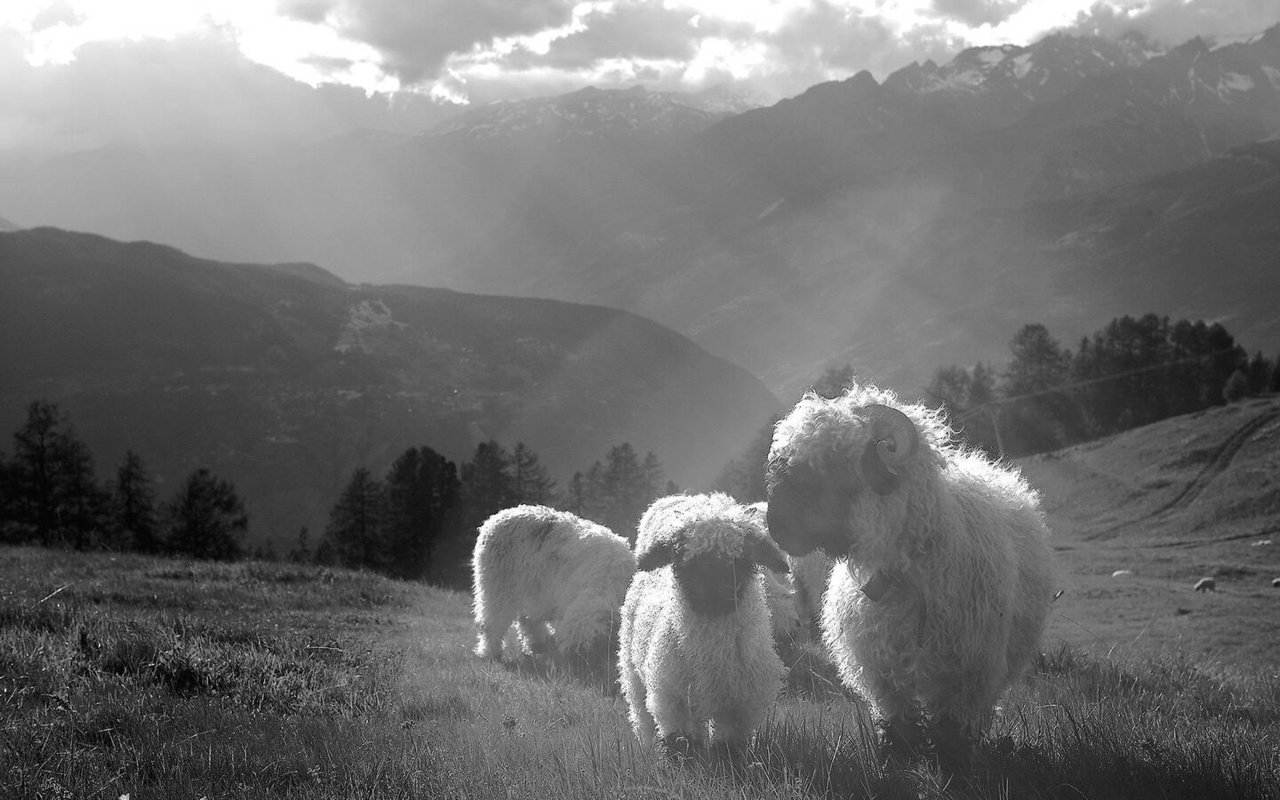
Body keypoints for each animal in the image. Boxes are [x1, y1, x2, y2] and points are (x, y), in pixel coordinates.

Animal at [473, 504, 637, 665]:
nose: (580, 667)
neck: (607, 583)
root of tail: (497, 517)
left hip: (530, 586)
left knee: (527, 619)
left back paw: (538, 644)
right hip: (498, 584)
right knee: (492, 622)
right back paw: (490, 652)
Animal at [619, 488, 788, 752]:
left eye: (738, 558)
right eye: (682, 556)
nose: (713, 593)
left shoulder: (739, 709)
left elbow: (729, 749)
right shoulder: (674, 702)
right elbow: (682, 748)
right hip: (633, 674)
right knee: (642, 716)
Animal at [762, 384, 1054, 773]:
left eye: (833, 461)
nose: (775, 526)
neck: (901, 574)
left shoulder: (967, 671)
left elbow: (951, 727)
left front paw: (952, 766)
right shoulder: (880, 671)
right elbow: (898, 721)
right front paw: (899, 760)